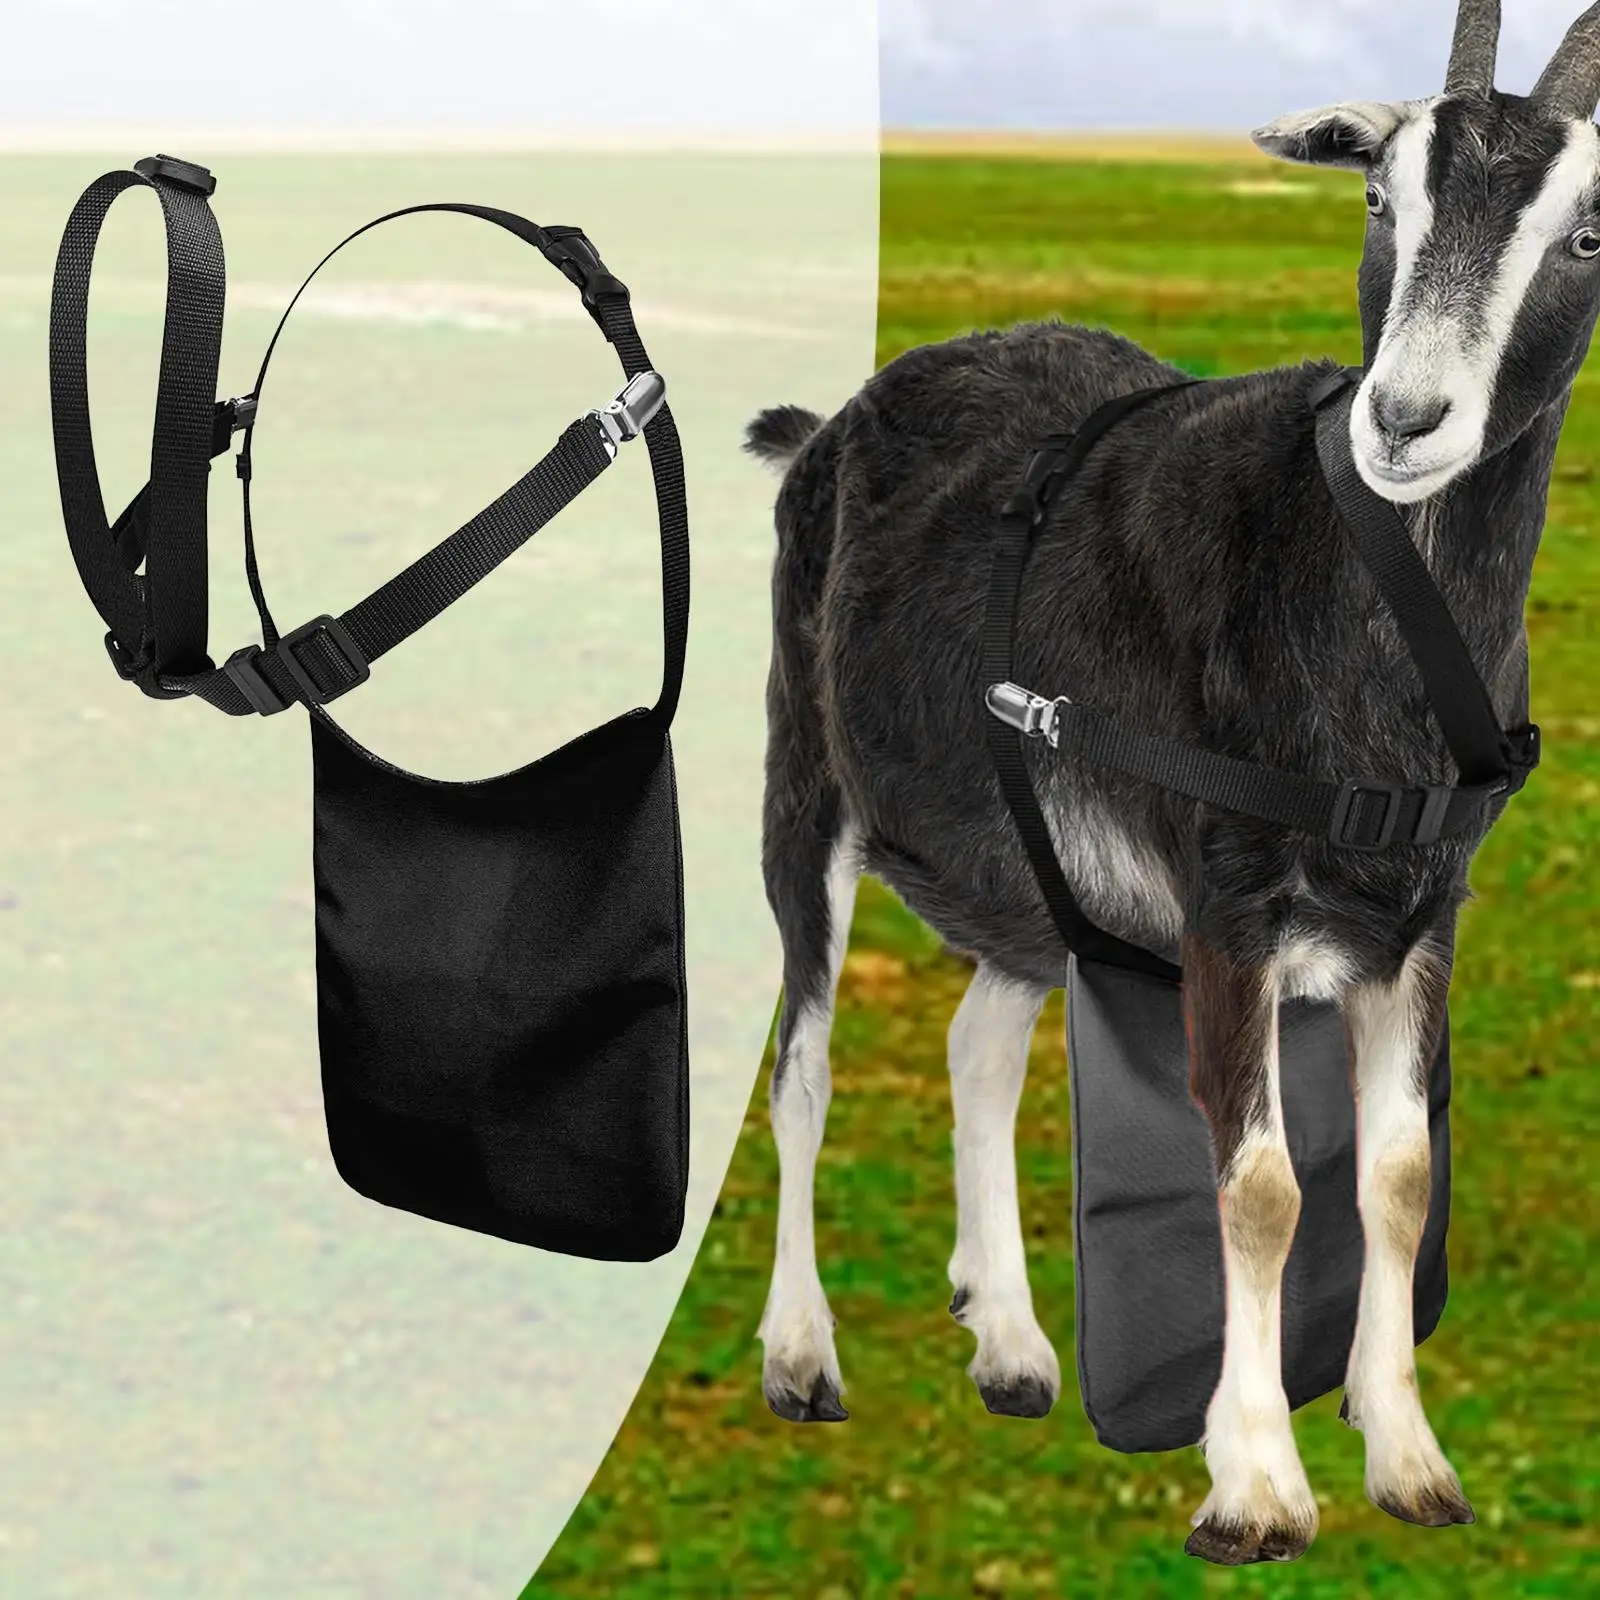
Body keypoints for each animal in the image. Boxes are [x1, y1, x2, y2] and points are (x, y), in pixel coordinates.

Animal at [744, 0, 1600, 1566]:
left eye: (1584, 232)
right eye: (1380, 199)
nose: (1405, 418)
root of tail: (832, 422)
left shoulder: (1422, 918)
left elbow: (1396, 1176)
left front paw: (1408, 1458)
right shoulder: (1225, 906)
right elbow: (1258, 1186)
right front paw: (1254, 1483)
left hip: (1027, 879)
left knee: (978, 1039)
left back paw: (1015, 1349)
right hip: (806, 785)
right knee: (802, 1061)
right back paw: (801, 1356)